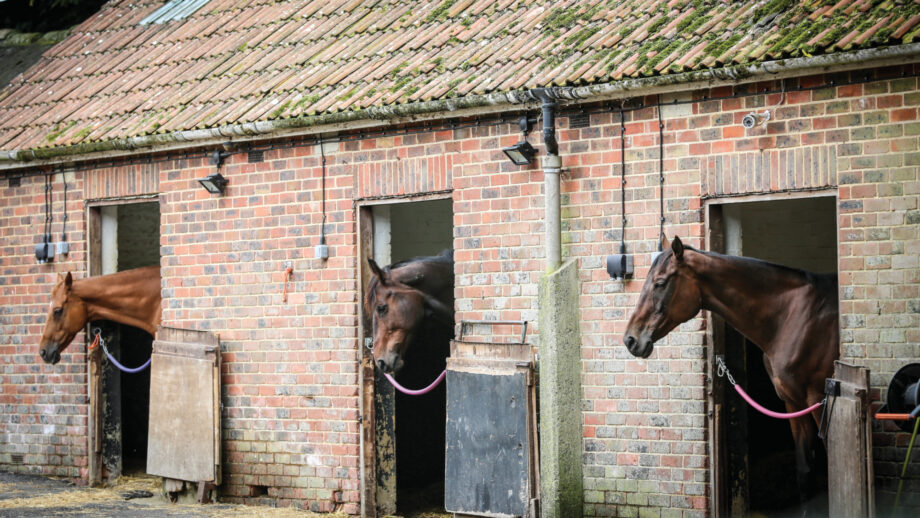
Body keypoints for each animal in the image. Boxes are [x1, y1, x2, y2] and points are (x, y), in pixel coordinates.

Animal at [623, 235, 838, 512]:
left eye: (660, 283)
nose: (630, 339)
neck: (793, 317)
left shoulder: (820, 403)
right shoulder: (793, 404)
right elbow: (804, 472)